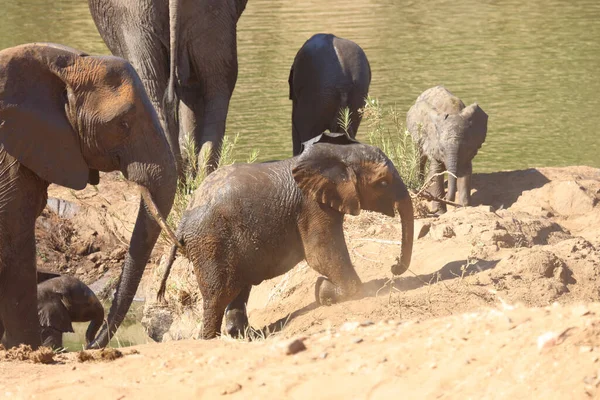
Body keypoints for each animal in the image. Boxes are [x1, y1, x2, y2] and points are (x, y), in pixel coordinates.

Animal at [157, 133, 414, 340]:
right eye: (383, 182)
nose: (394, 266)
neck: (333, 155)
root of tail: (181, 224)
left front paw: (322, 291)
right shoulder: (311, 207)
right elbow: (320, 255)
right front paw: (324, 292)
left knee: (239, 288)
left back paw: (243, 335)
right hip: (211, 244)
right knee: (218, 296)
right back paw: (211, 338)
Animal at [408, 86, 488, 214]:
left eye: (464, 148)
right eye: (441, 149)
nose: (446, 197)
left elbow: (465, 171)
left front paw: (463, 207)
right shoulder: (433, 144)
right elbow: (436, 171)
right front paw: (440, 212)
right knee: (420, 158)